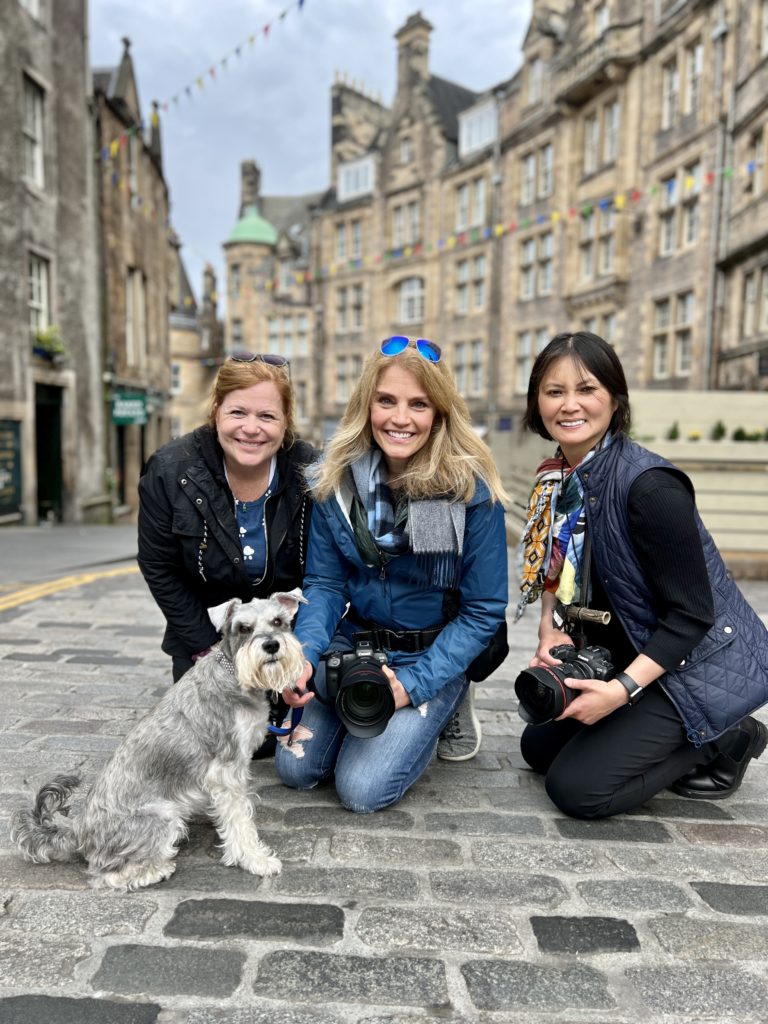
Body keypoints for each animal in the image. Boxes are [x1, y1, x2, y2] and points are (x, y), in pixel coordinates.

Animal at [10, 589, 307, 892]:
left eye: (278, 621)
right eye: (244, 628)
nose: (271, 645)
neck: (233, 674)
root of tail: (79, 831)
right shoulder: (227, 769)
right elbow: (239, 819)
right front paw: (255, 859)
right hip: (162, 816)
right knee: (105, 874)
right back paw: (156, 870)